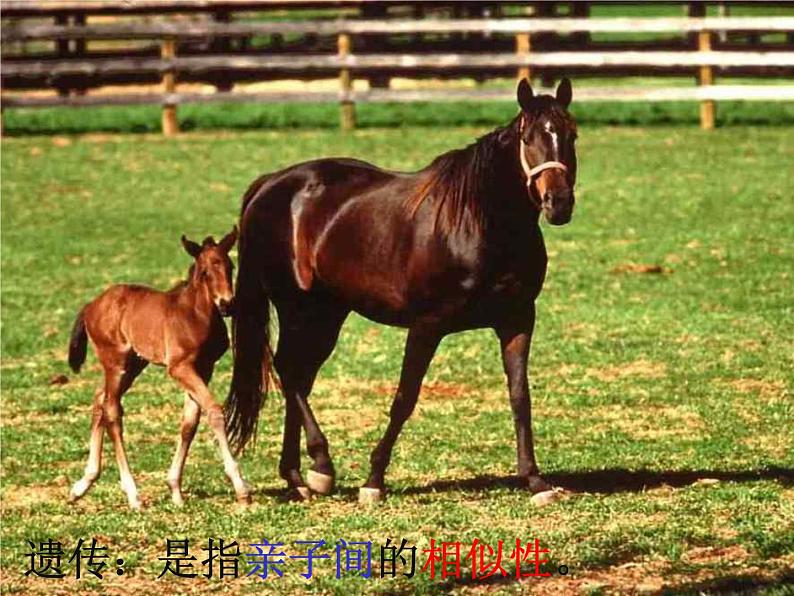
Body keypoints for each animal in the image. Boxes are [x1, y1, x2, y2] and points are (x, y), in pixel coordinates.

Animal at [67, 227, 249, 508]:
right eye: (205, 271)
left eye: (231, 266)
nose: (227, 304)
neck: (196, 315)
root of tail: (91, 306)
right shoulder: (179, 367)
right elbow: (214, 411)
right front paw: (241, 488)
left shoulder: (204, 367)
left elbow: (189, 423)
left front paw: (175, 489)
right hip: (115, 362)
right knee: (112, 412)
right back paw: (133, 495)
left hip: (134, 364)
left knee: (100, 399)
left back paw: (83, 484)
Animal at [226, 79, 580, 506]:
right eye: (529, 138)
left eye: (571, 135)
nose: (558, 203)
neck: (478, 222)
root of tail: (272, 183)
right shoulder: (426, 326)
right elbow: (404, 398)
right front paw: (374, 481)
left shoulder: (517, 320)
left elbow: (519, 397)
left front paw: (535, 481)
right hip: (296, 307)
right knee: (289, 372)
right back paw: (321, 465)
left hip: (326, 313)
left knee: (300, 376)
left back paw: (299, 476)